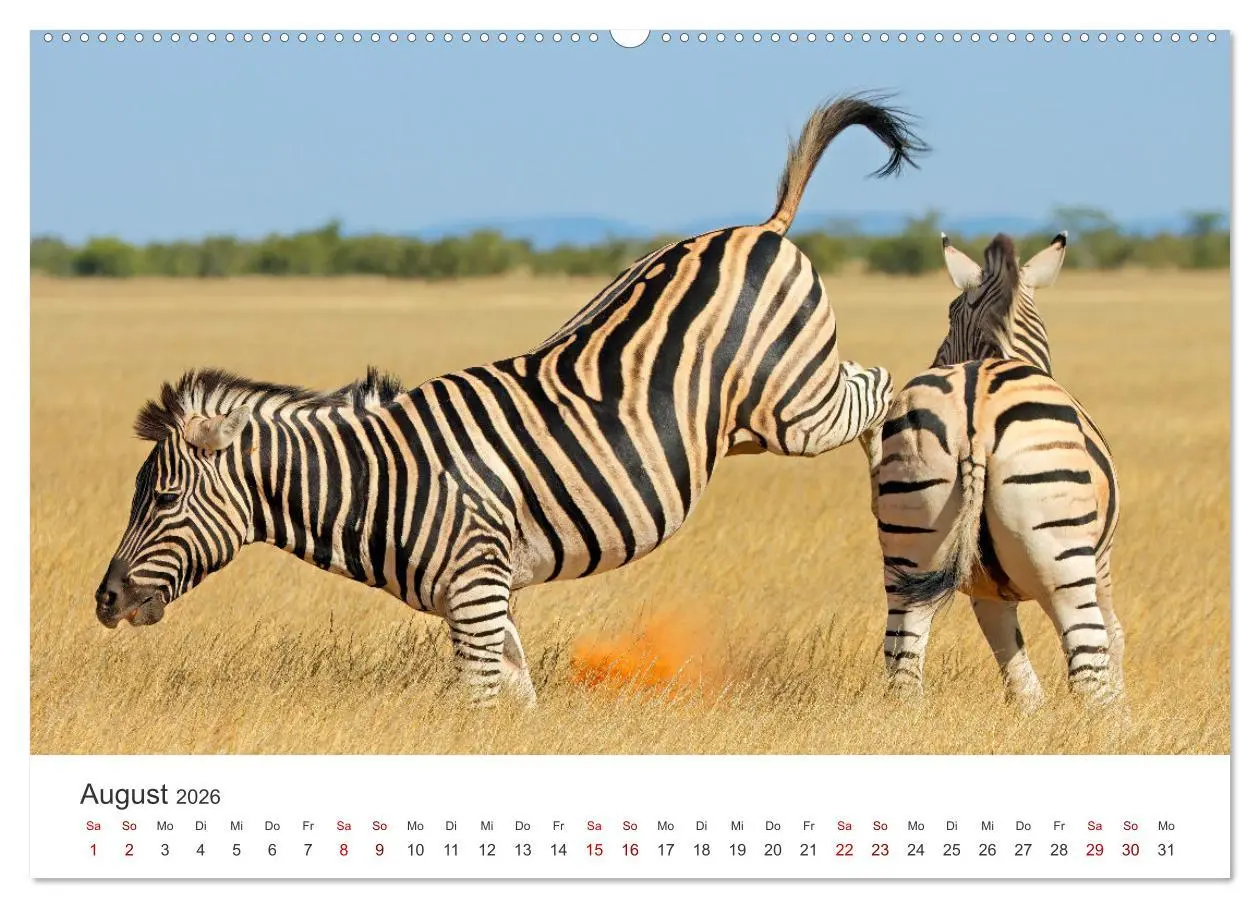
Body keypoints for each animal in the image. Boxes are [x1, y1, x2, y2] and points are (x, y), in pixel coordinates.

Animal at [93, 95, 924, 706]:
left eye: (163, 500)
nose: (102, 601)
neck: (378, 482)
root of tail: (758, 227)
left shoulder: (476, 592)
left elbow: (480, 702)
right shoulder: (487, 599)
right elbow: (514, 701)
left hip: (797, 406)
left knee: (881, 387)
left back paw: (908, 495)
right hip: (748, 420)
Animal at [870, 232, 1122, 710]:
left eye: (950, 314)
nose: (932, 359)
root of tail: (975, 415)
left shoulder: (986, 593)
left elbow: (1021, 682)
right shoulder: (1100, 566)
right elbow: (1115, 641)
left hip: (909, 547)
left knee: (902, 662)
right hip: (1065, 564)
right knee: (1089, 670)